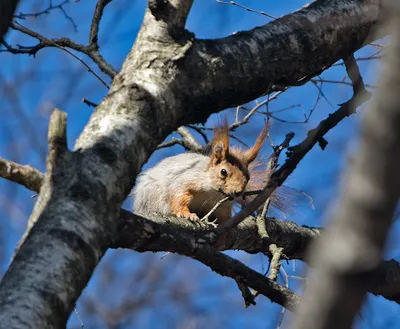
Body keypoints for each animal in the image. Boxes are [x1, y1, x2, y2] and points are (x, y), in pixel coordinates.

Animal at [134, 119, 268, 224]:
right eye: (223, 172)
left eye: (248, 177)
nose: (238, 192)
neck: (213, 193)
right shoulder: (185, 180)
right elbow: (177, 196)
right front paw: (187, 214)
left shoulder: (223, 208)